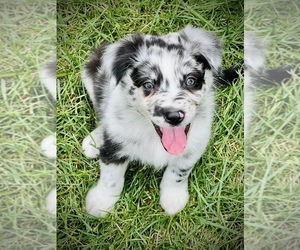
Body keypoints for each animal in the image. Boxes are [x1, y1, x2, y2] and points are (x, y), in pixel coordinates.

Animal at [81, 25, 221, 217]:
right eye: (148, 84)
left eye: (191, 81)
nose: (174, 116)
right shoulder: (115, 146)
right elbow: (111, 176)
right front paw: (101, 202)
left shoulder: (194, 147)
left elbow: (178, 173)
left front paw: (173, 198)